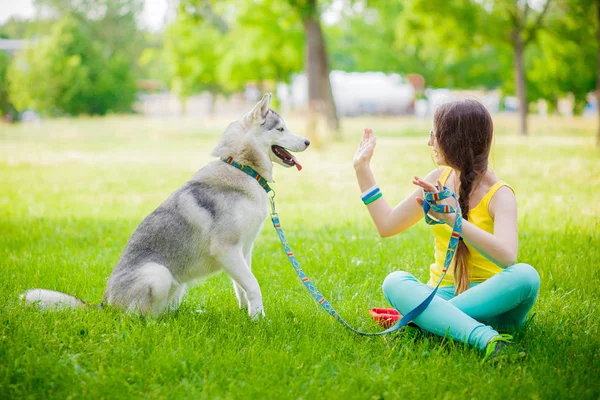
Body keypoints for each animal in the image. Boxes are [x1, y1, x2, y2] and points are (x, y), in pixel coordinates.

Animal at [22, 94, 310, 318]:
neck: (243, 168)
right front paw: (259, 320)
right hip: (157, 274)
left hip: (177, 285)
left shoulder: (243, 250)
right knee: (134, 318)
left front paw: (248, 316)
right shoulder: (227, 249)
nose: (308, 141)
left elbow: (242, 287)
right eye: (281, 129)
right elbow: (253, 285)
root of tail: (105, 302)